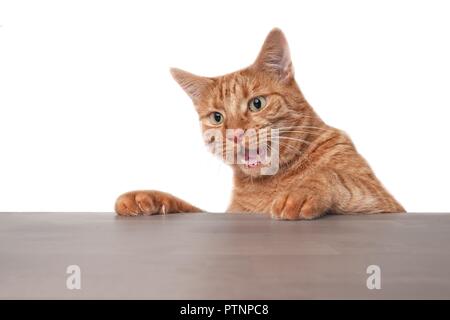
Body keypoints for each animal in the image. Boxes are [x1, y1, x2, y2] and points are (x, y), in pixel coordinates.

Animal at [114, 28, 406, 220]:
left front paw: (303, 190)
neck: (272, 180)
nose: (234, 134)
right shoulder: (228, 213)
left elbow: (336, 177)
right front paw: (147, 197)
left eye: (257, 103)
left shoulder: (385, 204)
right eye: (217, 117)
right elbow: (185, 204)